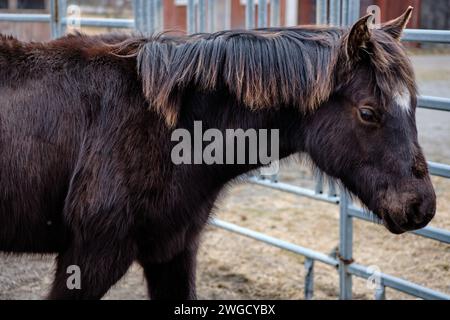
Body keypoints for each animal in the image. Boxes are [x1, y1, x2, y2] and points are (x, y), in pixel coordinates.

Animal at [0, 8, 436, 300]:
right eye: (368, 112)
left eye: (414, 105)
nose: (422, 207)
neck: (169, 129)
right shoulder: (89, 258)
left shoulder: (173, 252)